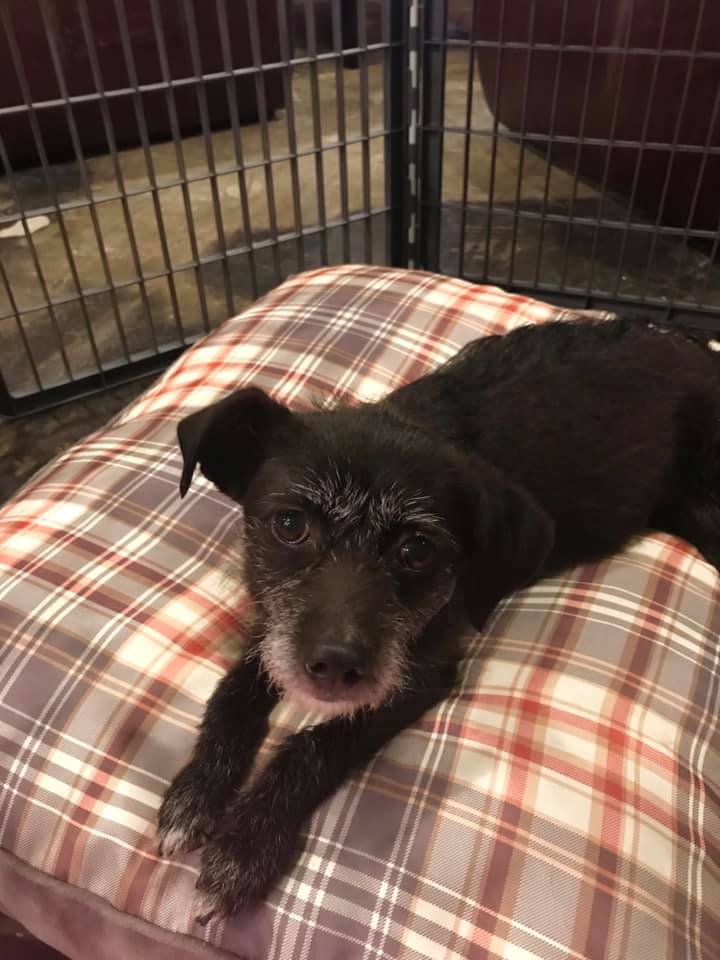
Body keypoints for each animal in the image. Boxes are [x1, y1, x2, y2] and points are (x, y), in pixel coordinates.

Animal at [156, 314, 720, 916]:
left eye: (417, 551)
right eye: (290, 524)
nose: (334, 666)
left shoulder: (421, 670)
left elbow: (319, 743)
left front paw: (246, 844)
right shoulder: (274, 631)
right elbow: (231, 696)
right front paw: (195, 790)